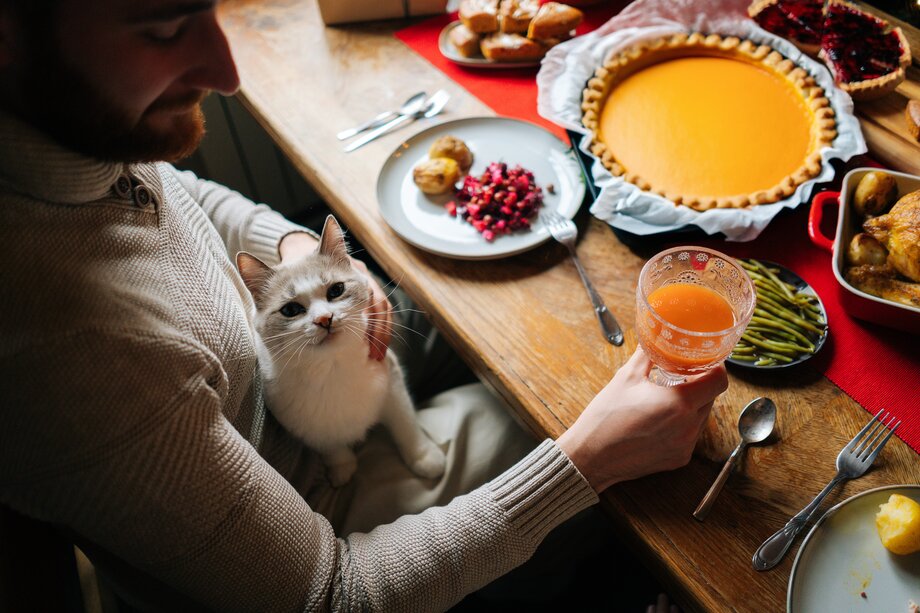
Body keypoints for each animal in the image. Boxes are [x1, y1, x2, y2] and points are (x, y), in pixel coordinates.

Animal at [237, 215, 446, 488]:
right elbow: (329, 444)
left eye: (336, 290)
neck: (331, 368)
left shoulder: (392, 383)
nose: (324, 319)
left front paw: (424, 456)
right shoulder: (301, 423)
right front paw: (341, 467)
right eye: (291, 310)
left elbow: (406, 424)